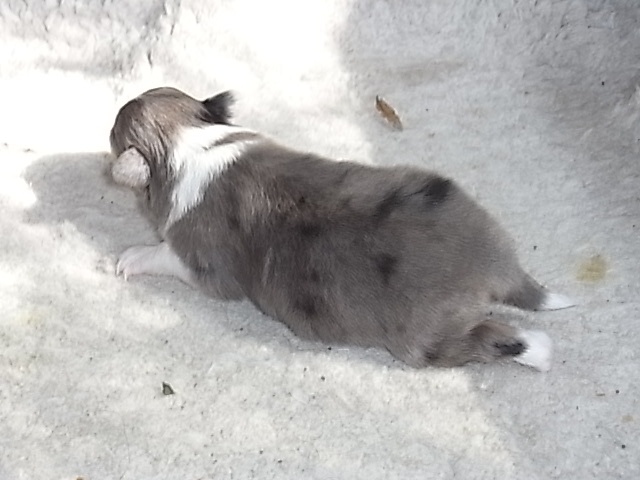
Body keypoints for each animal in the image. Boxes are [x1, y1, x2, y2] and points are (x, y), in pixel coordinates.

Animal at [109, 87, 573, 371]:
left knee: (499, 338)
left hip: (426, 340)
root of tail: (496, 265)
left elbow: (165, 254)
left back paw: (541, 352)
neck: (189, 142)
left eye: (112, 132)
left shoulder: (204, 265)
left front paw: (130, 257)